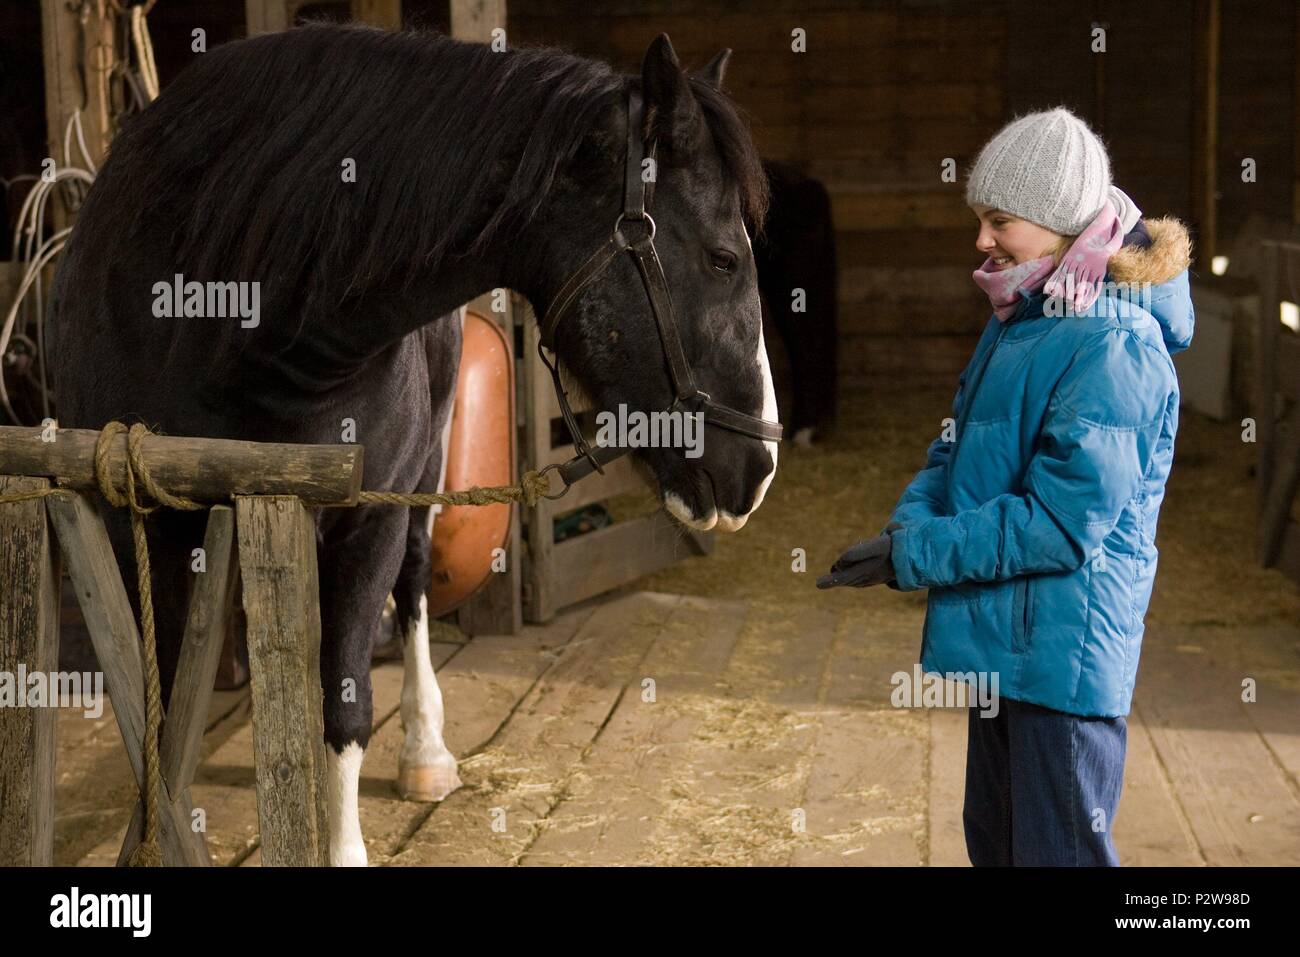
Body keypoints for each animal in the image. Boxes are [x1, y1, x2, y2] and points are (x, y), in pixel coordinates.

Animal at [50, 22, 774, 863]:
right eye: (723, 258)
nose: (760, 465)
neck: (236, 316)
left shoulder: (371, 517)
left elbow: (346, 704)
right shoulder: (137, 519)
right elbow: (162, 721)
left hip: (422, 478)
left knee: (417, 585)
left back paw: (425, 750)